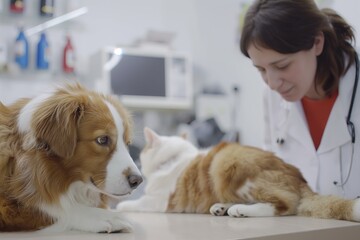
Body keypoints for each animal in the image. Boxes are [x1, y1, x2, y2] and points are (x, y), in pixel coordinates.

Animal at [116, 128, 360, 222]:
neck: (175, 157)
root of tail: (299, 177)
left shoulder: (159, 201)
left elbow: (132, 203)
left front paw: (119, 207)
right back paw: (221, 208)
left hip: (226, 162)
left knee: (284, 205)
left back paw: (240, 210)